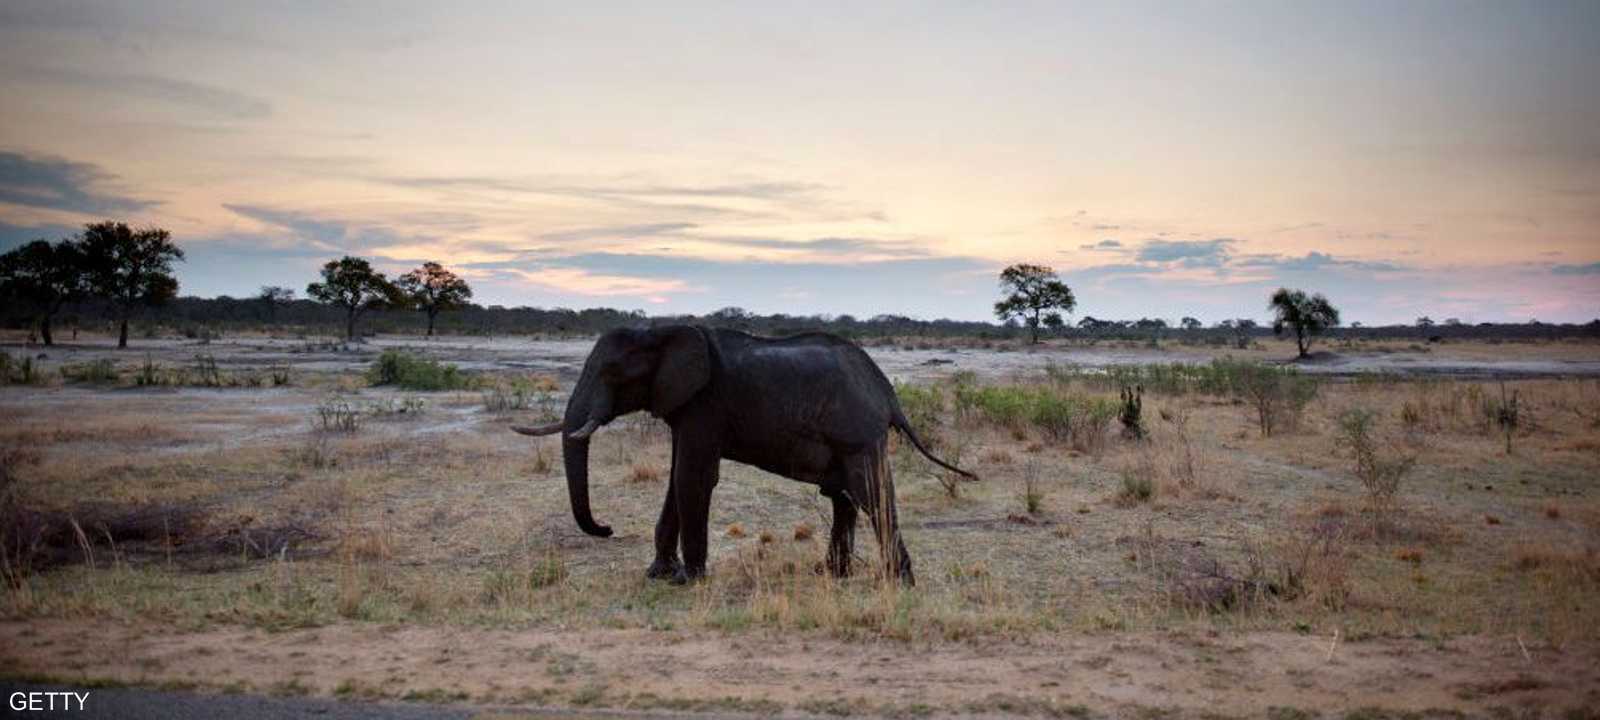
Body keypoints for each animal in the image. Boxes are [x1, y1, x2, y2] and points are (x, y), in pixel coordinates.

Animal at [518, 326, 979, 585]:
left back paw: (899, 582)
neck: (660, 332)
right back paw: (832, 575)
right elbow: (677, 478)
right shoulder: (684, 407)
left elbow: (693, 477)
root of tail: (888, 392)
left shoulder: (707, 403)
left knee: (870, 494)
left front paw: (687, 580)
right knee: (844, 497)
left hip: (859, 435)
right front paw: (656, 576)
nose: (608, 528)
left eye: (611, 373)